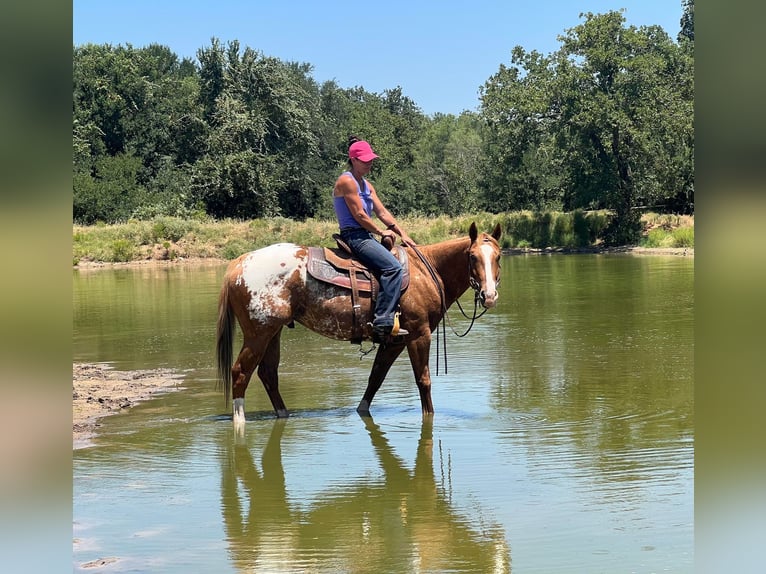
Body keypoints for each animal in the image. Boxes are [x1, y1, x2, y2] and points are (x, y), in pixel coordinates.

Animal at [216, 223, 504, 426]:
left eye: (498, 257)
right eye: (472, 256)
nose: (489, 295)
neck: (426, 271)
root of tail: (238, 264)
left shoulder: (395, 339)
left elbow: (376, 377)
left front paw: (362, 411)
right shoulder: (418, 334)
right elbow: (423, 381)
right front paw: (429, 418)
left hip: (273, 333)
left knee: (268, 374)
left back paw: (284, 415)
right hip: (258, 333)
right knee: (240, 373)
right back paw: (239, 423)